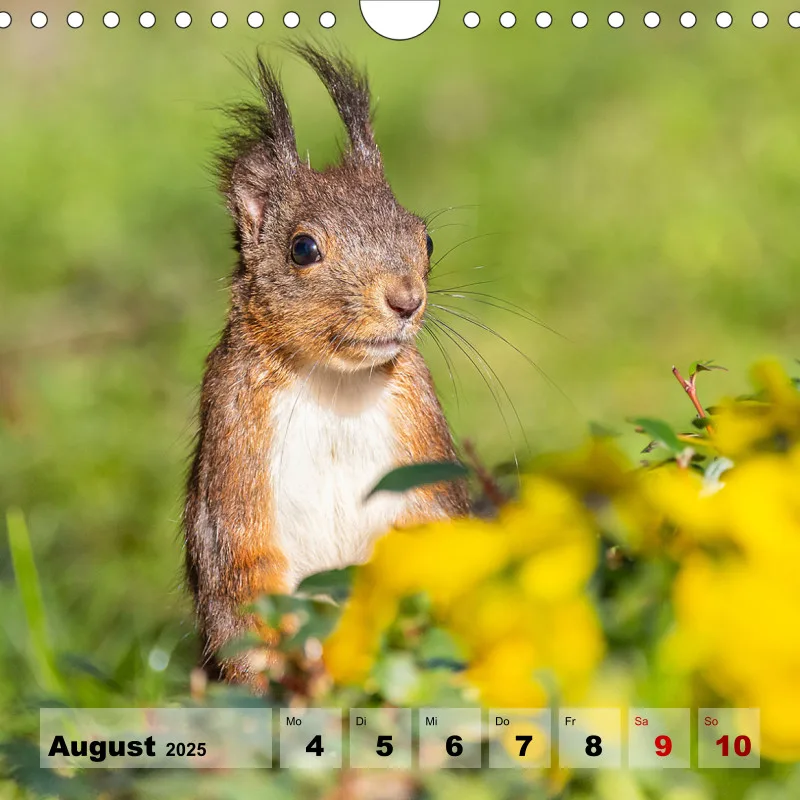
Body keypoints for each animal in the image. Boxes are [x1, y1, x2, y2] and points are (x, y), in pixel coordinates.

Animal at [183, 44, 469, 689]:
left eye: (426, 239)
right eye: (303, 249)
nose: (406, 299)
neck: (334, 380)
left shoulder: (419, 436)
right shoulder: (234, 450)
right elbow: (245, 577)